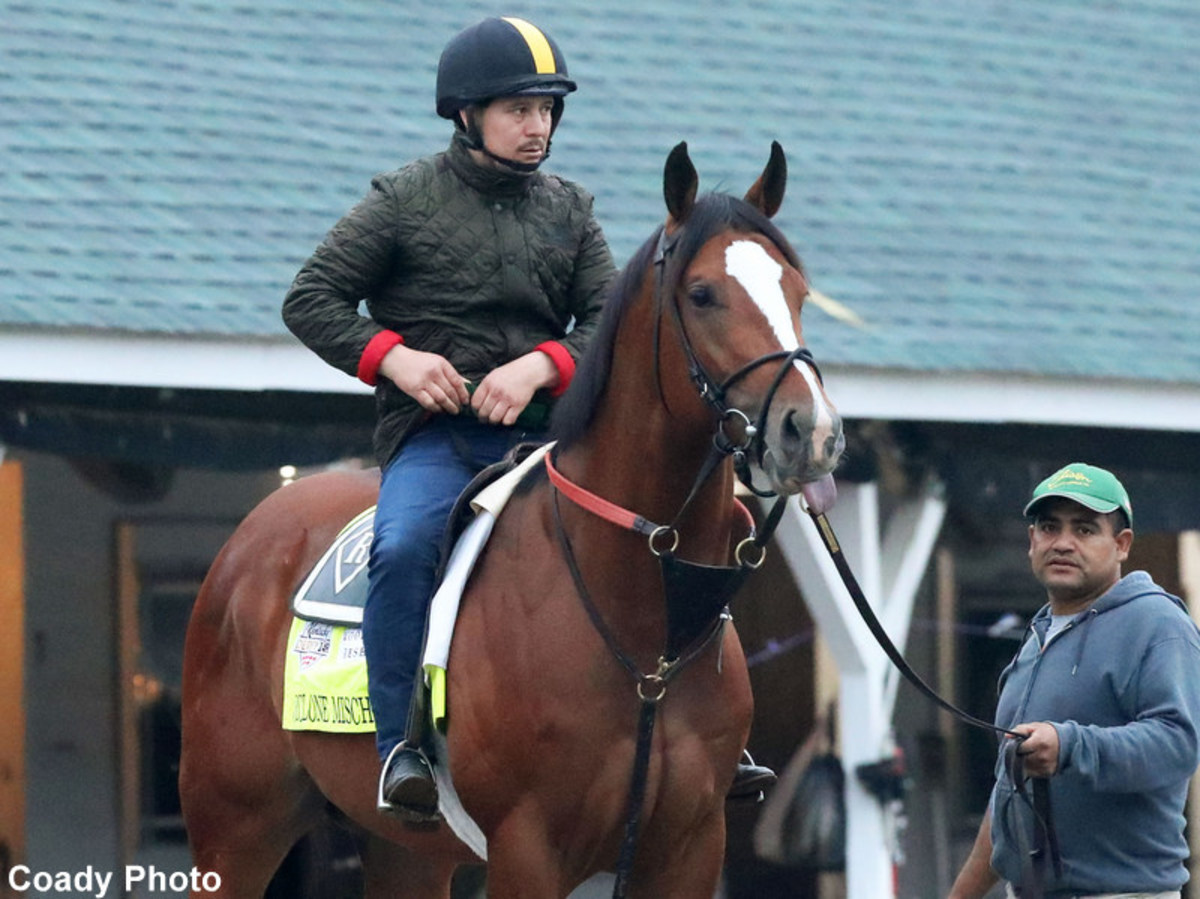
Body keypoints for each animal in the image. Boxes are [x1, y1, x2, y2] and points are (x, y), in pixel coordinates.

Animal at [182, 144, 849, 892]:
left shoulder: (691, 844)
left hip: (405, 851)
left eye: (797, 291)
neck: (646, 616)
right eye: (703, 293)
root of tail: (251, 536)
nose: (811, 431)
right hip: (234, 831)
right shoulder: (529, 848)